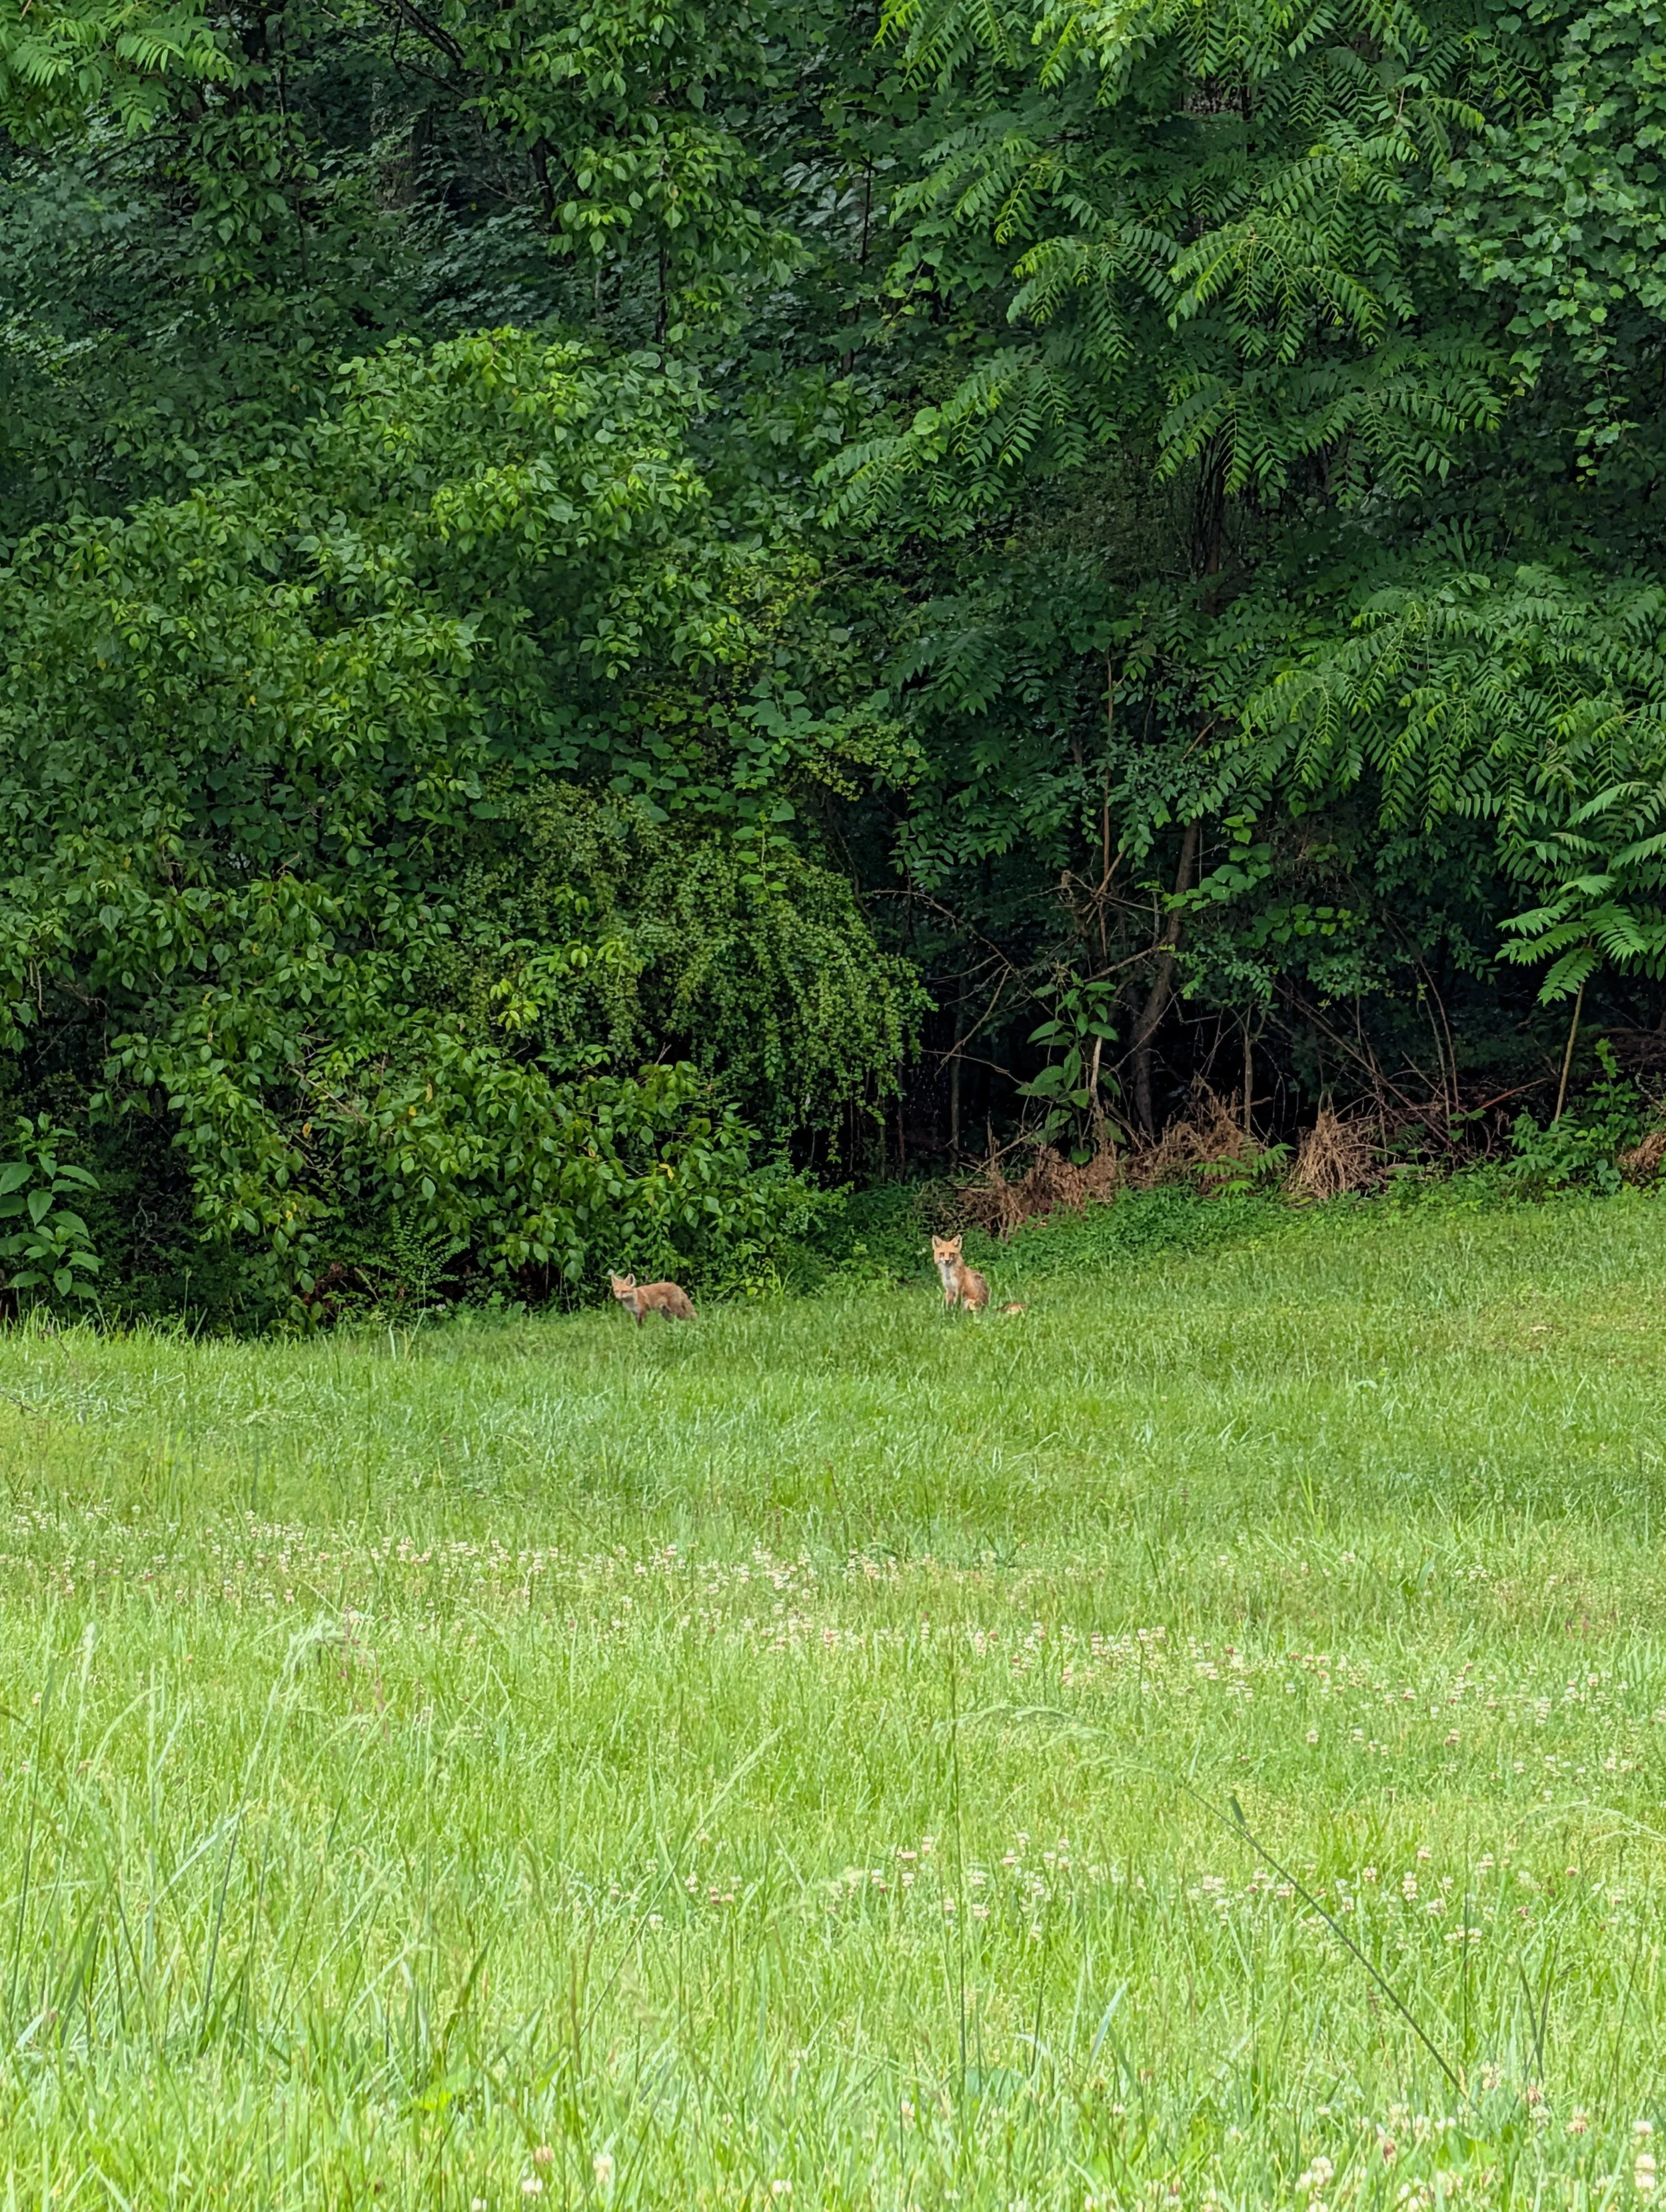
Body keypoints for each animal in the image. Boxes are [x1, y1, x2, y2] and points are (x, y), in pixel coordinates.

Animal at [608, 1271, 697, 1325]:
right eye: (616, 1291)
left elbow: (642, 1326)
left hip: (676, 1311)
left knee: (686, 1318)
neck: (632, 1303)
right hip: (666, 1313)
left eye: (624, 1291)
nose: (618, 1298)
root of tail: (676, 1285)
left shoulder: (643, 1312)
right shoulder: (635, 1314)